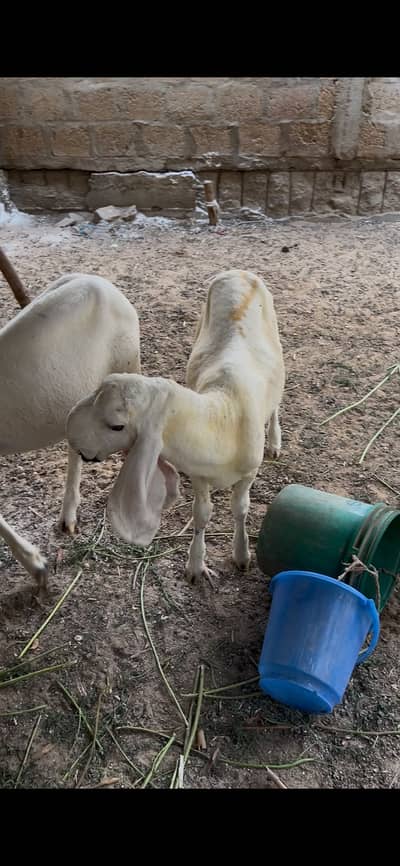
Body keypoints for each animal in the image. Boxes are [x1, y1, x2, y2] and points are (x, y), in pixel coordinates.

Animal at [66, 269, 285, 583]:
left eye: (117, 426)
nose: (71, 432)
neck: (224, 417)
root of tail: (237, 272)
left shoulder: (248, 474)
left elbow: (240, 509)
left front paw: (242, 555)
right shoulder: (199, 474)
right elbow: (202, 514)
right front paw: (196, 565)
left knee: (277, 403)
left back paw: (275, 441)